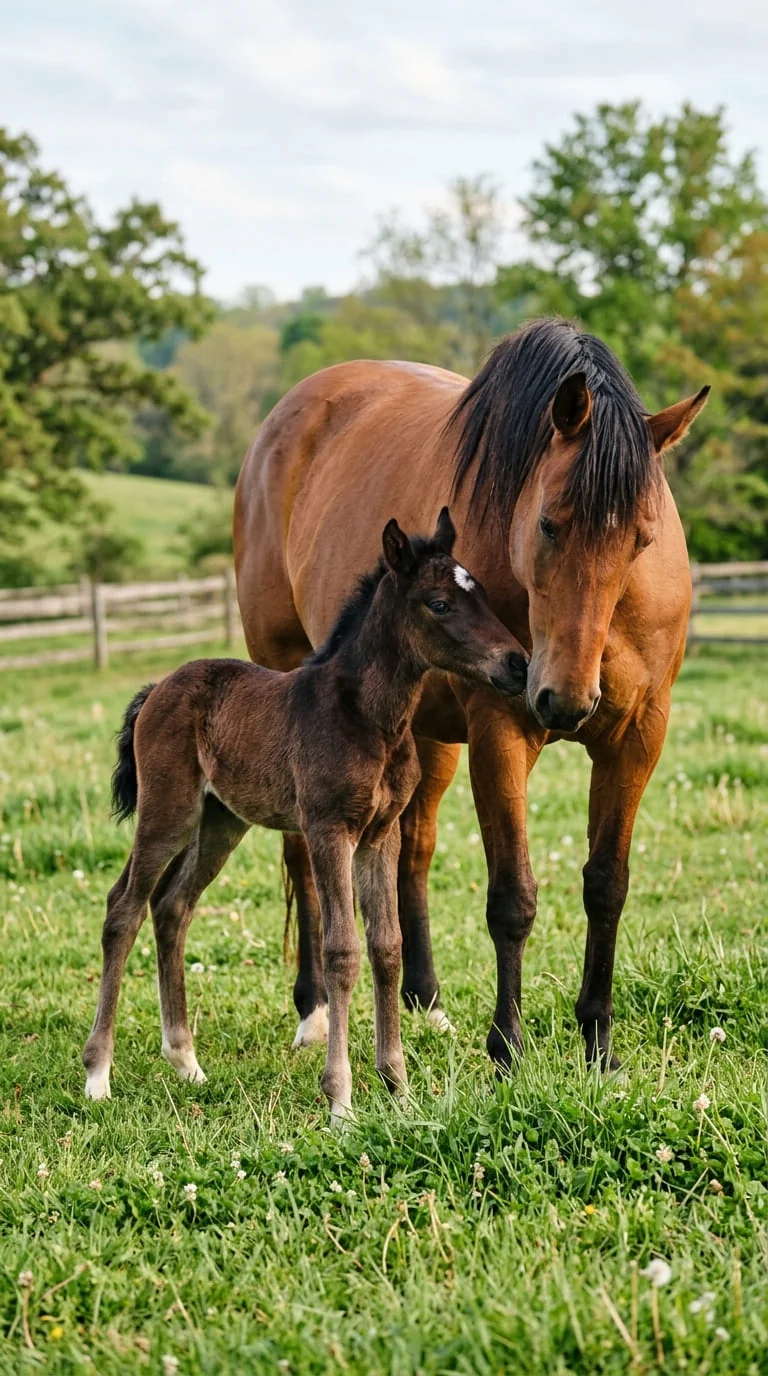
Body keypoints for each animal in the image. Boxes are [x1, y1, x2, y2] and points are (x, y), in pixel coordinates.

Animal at [82, 511, 527, 1120]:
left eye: (479, 591)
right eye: (439, 603)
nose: (517, 663)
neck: (368, 719)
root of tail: (156, 690)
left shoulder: (380, 835)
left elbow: (386, 946)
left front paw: (398, 1085)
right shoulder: (328, 829)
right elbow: (342, 949)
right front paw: (340, 1099)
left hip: (221, 821)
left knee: (172, 907)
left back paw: (186, 1061)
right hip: (168, 810)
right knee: (123, 907)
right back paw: (98, 1074)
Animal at [234, 317, 709, 1072]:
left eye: (642, 538)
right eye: (549, 523)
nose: (564, 700)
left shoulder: (637, 738)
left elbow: (608, 885)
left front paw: (598, 1042)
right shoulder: (501, 732)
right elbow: (512, 895)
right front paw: (507, 1046)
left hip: (423, 735)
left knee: (413, 848)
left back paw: (423, 1001)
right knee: (302, 855)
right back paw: (314, 1009)